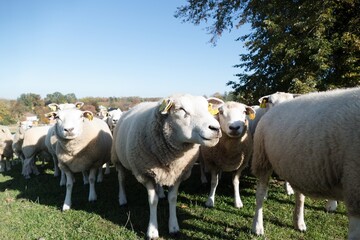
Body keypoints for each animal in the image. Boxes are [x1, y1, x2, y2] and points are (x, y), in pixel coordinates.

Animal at [111, 94, 222, 238]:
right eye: (181, 109)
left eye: (207, 107)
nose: (216, 128)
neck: (171, 158)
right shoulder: (145, 175)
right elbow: (153, 201)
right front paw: (152, 231)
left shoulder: (177, 174)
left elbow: (173, 199)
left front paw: (173, 227)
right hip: (117, 158)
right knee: (121, 179)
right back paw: (122, 198)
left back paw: (160, 192)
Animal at [250, 87, 360, 239]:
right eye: (270, 101)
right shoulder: (354, 187)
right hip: (263, 157)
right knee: (260, 194)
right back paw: (257, 226)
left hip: (298, 165)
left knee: (300, 196)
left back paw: (299, 222)